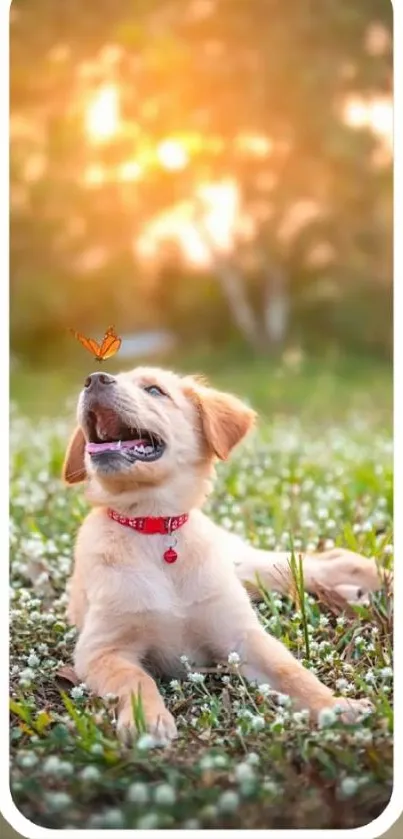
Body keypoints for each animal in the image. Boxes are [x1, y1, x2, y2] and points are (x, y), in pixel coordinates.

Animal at [64, 368, 382, 740]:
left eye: (154, 390)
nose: (94, 379)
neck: (155, 529)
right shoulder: (101, 649)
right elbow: (134, 678)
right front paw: (147, 720)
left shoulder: (240, 636)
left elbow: (290, 670)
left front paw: (335, 705)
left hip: (246, 567)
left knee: (320, 562)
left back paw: (375, 577)